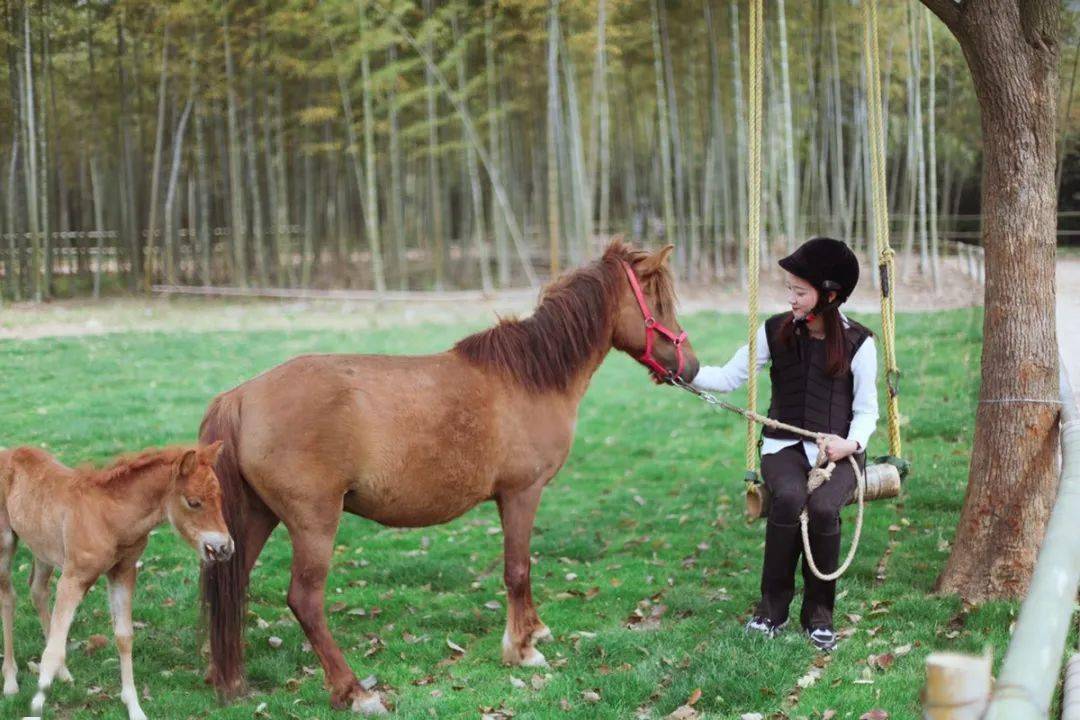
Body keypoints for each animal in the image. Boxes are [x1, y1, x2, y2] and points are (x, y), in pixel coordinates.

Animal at [0, 440, 234, 720]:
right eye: (194, 502)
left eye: (221, 497)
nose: (225, 548)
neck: (110, 519)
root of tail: (9, 452)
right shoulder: (73, 578)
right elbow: (53, 650)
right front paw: (35, 710)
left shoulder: (123, 572)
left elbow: (123, 636)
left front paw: (134, 707)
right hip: (5, 543)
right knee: (8, 597)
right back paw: (10, 682)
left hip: (42, 548)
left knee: (38, 591)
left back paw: (63, 674)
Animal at [198, 240, 695, 716]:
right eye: (658, 302)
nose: (688, 368)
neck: (531, 376)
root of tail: (239, 397)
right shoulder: (521, 493)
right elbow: (518, 569)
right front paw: (523, 649)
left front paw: (534, 631)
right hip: (314, 522)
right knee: (304, 600)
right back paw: (354, 692)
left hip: (257, 516)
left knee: (229, 584)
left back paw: (228, 677)